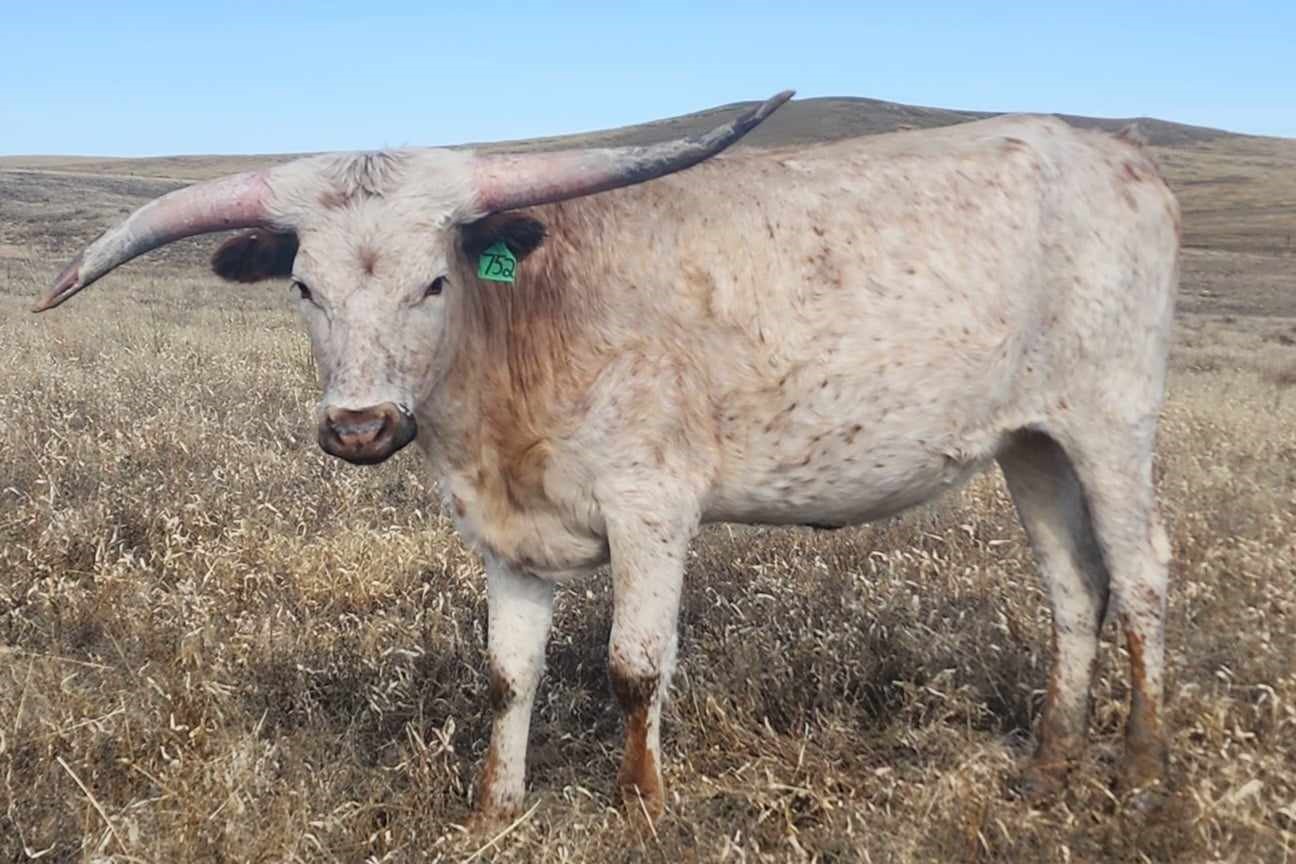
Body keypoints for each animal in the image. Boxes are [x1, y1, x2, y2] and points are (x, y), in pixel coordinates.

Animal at [33, 90, 1180, 821]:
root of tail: (1120, 156)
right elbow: (506, 675)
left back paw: (1139, 767)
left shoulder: (652, 507)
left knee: (1141, 576)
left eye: (433, 282)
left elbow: (635, 666)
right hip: (1031, 441)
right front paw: (493, 811)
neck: (522, 330)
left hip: (1112, 419)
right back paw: (1049, 765)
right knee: (1072, 586)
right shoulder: (500, 533)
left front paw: (642, 807)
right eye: (304, 288)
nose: (359, 426)